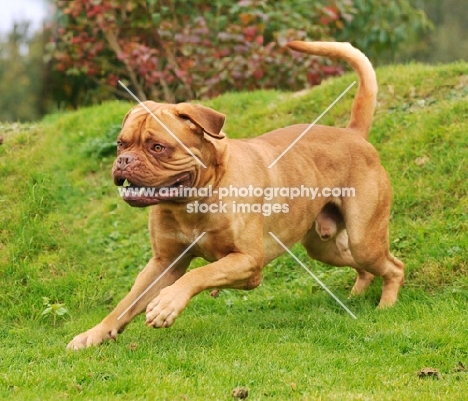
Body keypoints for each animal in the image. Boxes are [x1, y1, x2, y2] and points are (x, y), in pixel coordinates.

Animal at [67, 39, 404, 348]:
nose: (124, 161)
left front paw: (168, 303)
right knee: (363, 266)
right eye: (121, 144)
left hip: (364, 239)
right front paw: (94, 334)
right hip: (324, 248)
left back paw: (386, 306)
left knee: (394, 267)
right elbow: (126, 304)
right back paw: (358, 293)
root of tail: (352, 134)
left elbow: (200, 274)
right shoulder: (164, 263)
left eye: (158, 147)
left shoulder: (247, 261)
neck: (194, 200)